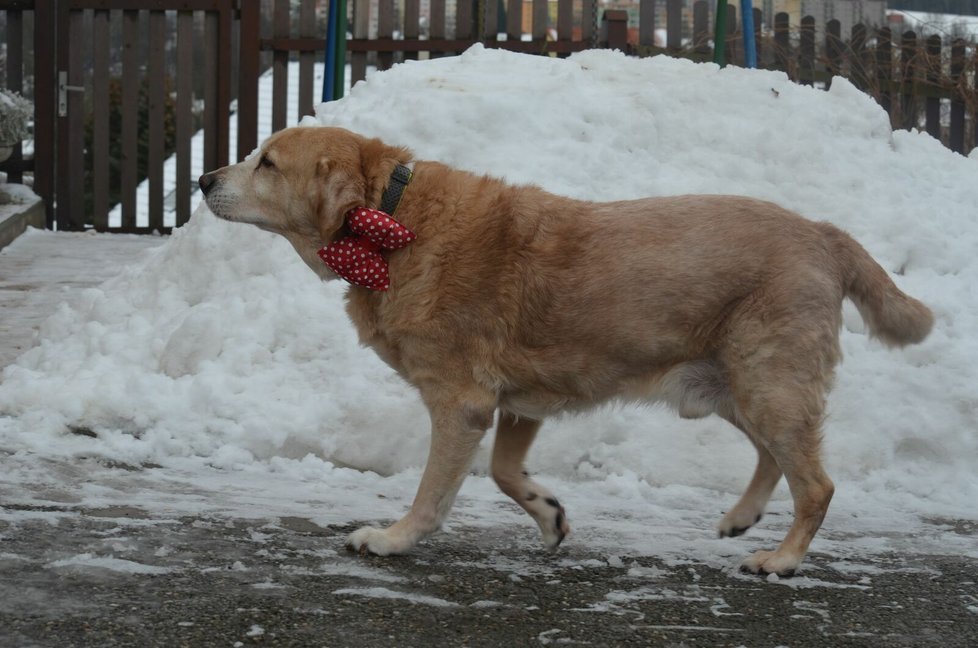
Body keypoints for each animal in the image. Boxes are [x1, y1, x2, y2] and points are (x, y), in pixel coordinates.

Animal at [198, 126, 932, 576]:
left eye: (267, 162)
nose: (203, 178)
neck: (391, 219)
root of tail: (823, 232)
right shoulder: (518, 404)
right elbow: (503, 473)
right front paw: (549, 517)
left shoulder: (461, 405)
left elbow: (435, 492)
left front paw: (393, 538)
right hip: (733, 386)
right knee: (773, 459)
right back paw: (742, 518)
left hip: (767, 383)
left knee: (817, 482)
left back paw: (782, 559)